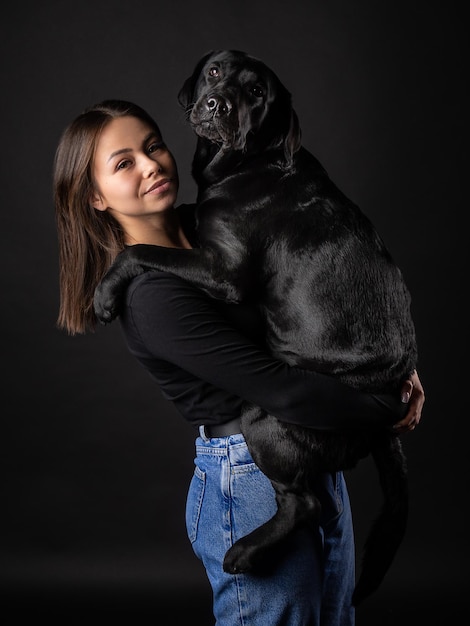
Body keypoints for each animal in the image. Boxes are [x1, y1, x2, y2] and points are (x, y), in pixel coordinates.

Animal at [93, 50, 416, 604]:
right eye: (216, 72)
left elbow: (143, 249)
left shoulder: (222, 272)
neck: (246, 163)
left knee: (306, 503)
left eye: (258, 94)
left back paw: (245, 551)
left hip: (264, 417)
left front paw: (106, 290)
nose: (217, 104)